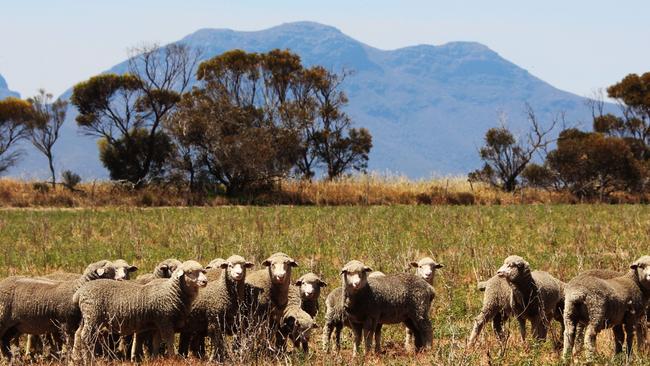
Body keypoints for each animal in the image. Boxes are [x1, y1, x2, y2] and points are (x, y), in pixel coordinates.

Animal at [72, 260, 206, 360]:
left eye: (202, 271)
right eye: (190, 272)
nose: (205, 281)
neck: (171, 291)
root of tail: (79, 292)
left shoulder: (157, 324)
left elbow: (156, 343)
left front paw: (155, 359)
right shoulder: (165, 321)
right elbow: (169, 341)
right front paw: (173, 358)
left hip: (87, 316)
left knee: (78, 334)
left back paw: (76, 359)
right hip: (93, 316)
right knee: (86, 336)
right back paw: (88, 359)